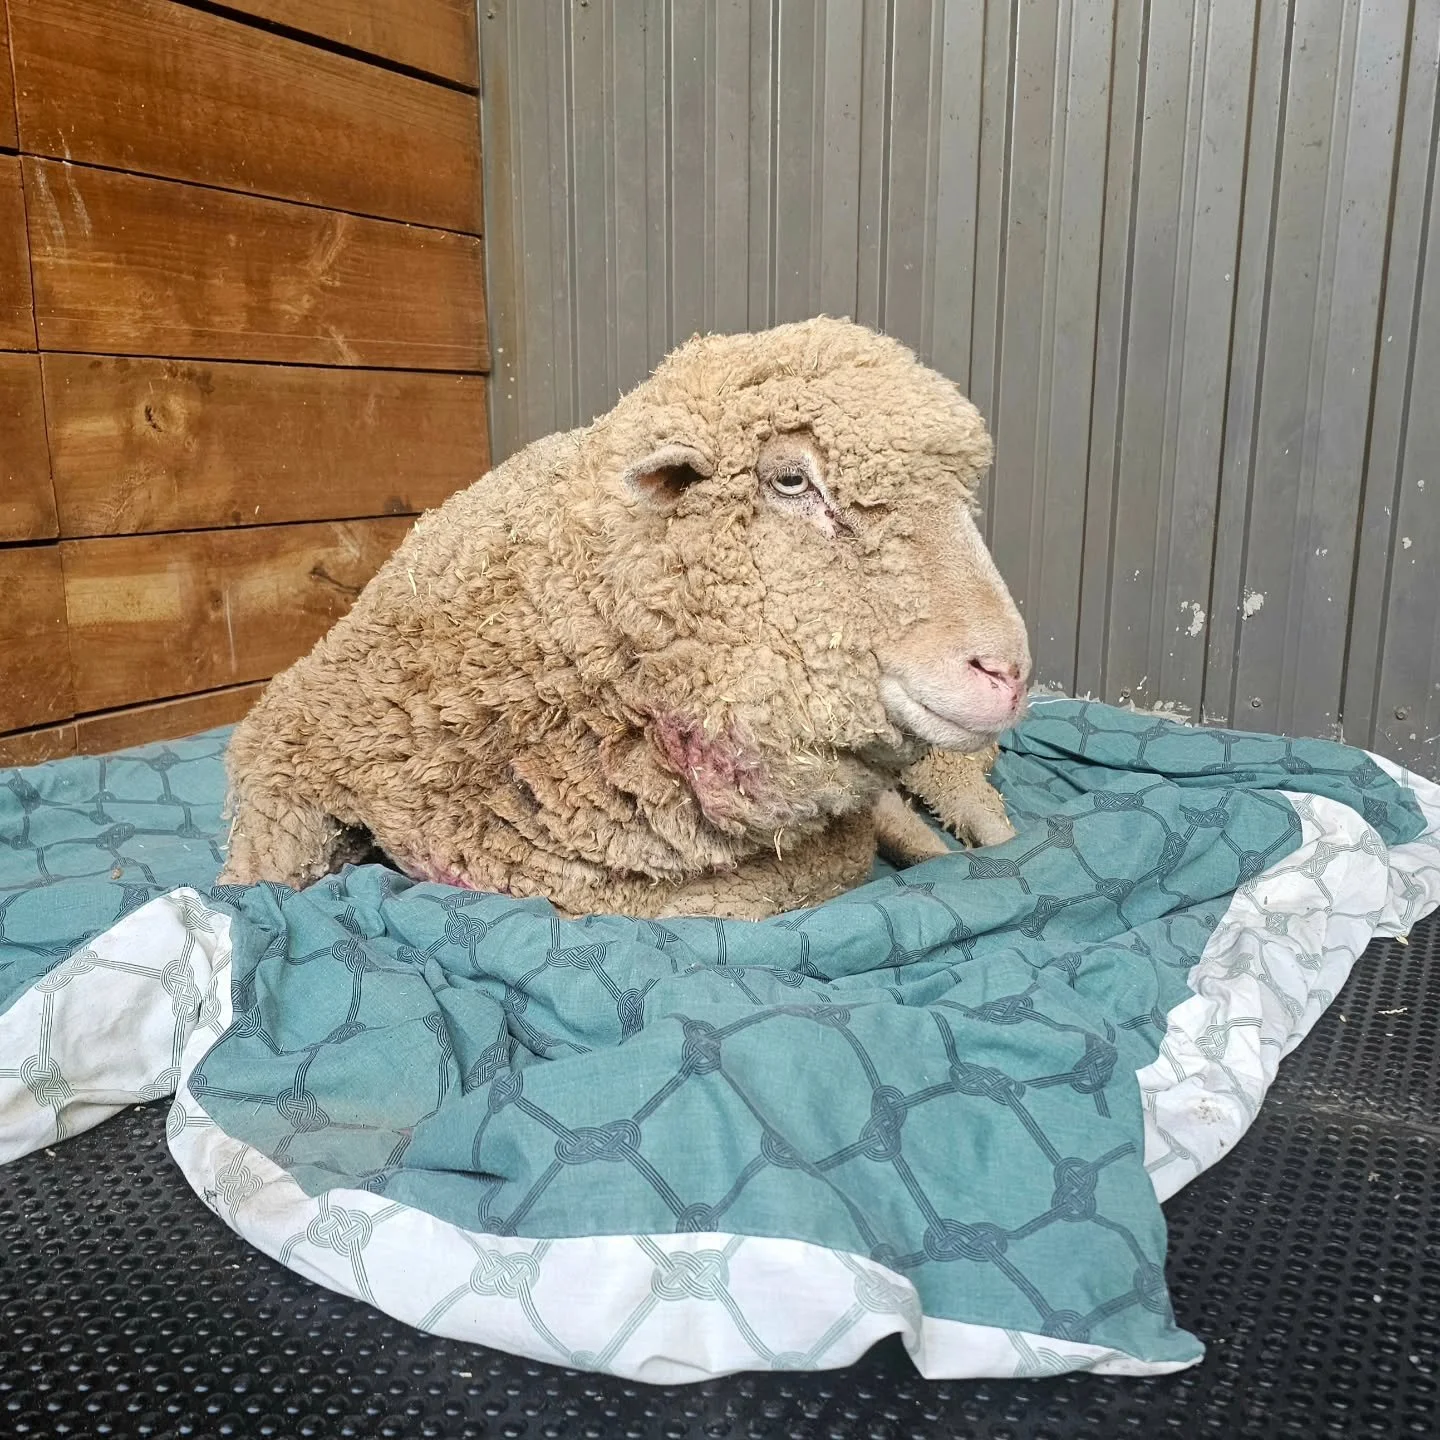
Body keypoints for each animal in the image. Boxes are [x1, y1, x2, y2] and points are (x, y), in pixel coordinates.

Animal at [219, 317, 1031, 919]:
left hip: (944, 763)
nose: (1008, 672)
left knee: (980, 820)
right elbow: (255, 873)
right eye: (792, 480)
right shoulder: (289, 731)